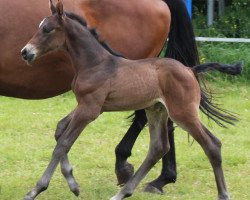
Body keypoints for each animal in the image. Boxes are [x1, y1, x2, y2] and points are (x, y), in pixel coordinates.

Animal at [20, 0, 240, 199]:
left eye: (47, 29)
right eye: (40, 26)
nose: (25, 52)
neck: (95, 63)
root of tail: (190, 69)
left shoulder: (89, 109)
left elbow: (62, 144)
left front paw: (35, 190)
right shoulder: (90, 105)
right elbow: (60, 131)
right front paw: (73, 185)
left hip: (183, 112)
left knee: (212, 144)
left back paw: (223, 194)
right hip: (157, 110)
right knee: (158, 148)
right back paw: (123, 192)